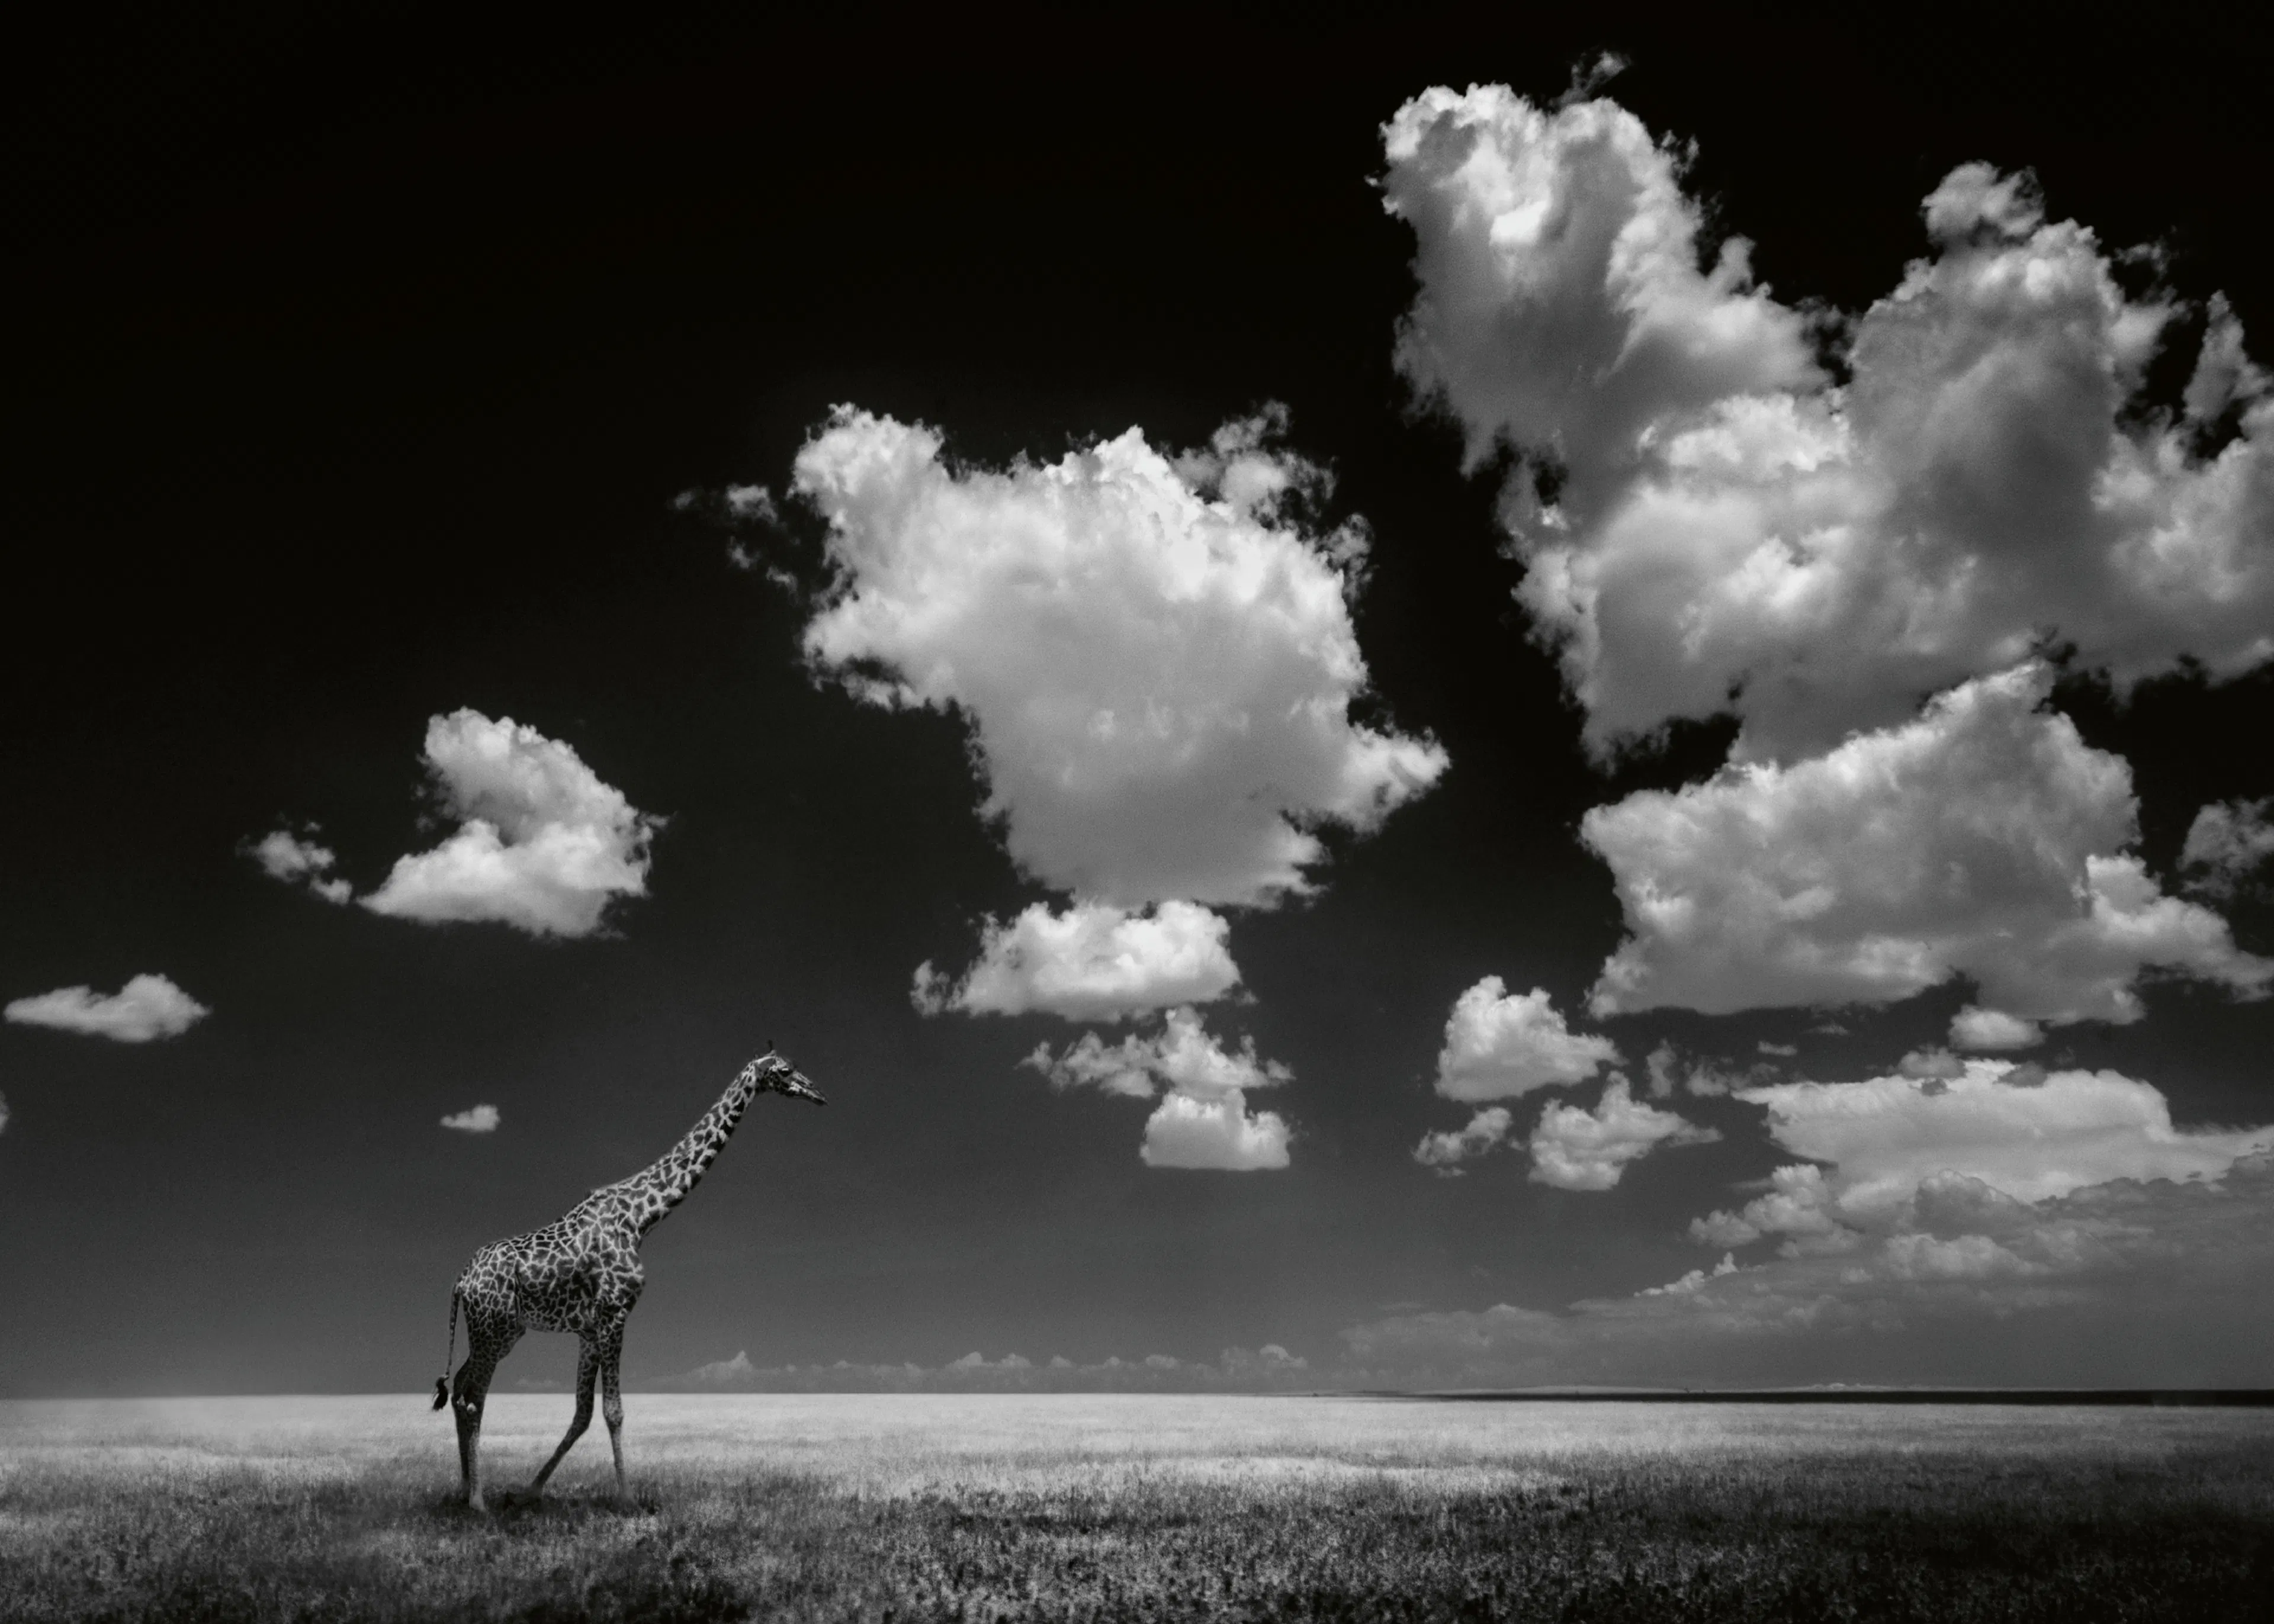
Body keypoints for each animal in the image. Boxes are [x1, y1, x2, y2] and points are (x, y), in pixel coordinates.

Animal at [432, 1048, 825, 1510]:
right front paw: (627, 1498)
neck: (641, 1217)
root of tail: (460, 1281)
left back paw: (463, 1489)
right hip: (494, 1330)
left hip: (497, 1332)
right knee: (472, 1398)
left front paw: (530, 1489)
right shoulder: (616, 1313)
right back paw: (478, 1502)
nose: (817, 1092)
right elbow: (613, 1411)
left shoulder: (588, 1330)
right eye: (785, 1070)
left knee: (460, 1387)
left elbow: (583, 1413)